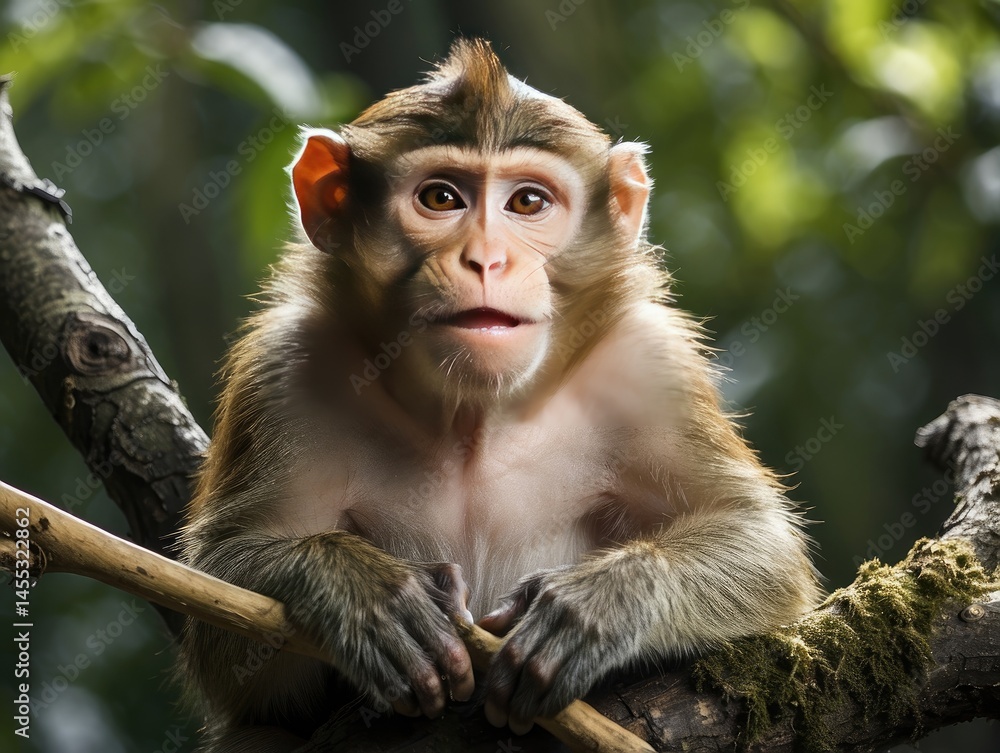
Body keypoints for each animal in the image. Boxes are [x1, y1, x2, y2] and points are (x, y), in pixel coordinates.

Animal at [178, 38, 821, 752]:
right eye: (440, 197)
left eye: (528, 203)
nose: (486, 258)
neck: (473, 413)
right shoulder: (287, 370)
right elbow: (231, 643)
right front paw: (361, 591)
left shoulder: (649, 366)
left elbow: (762, 540)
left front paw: (599, 604)